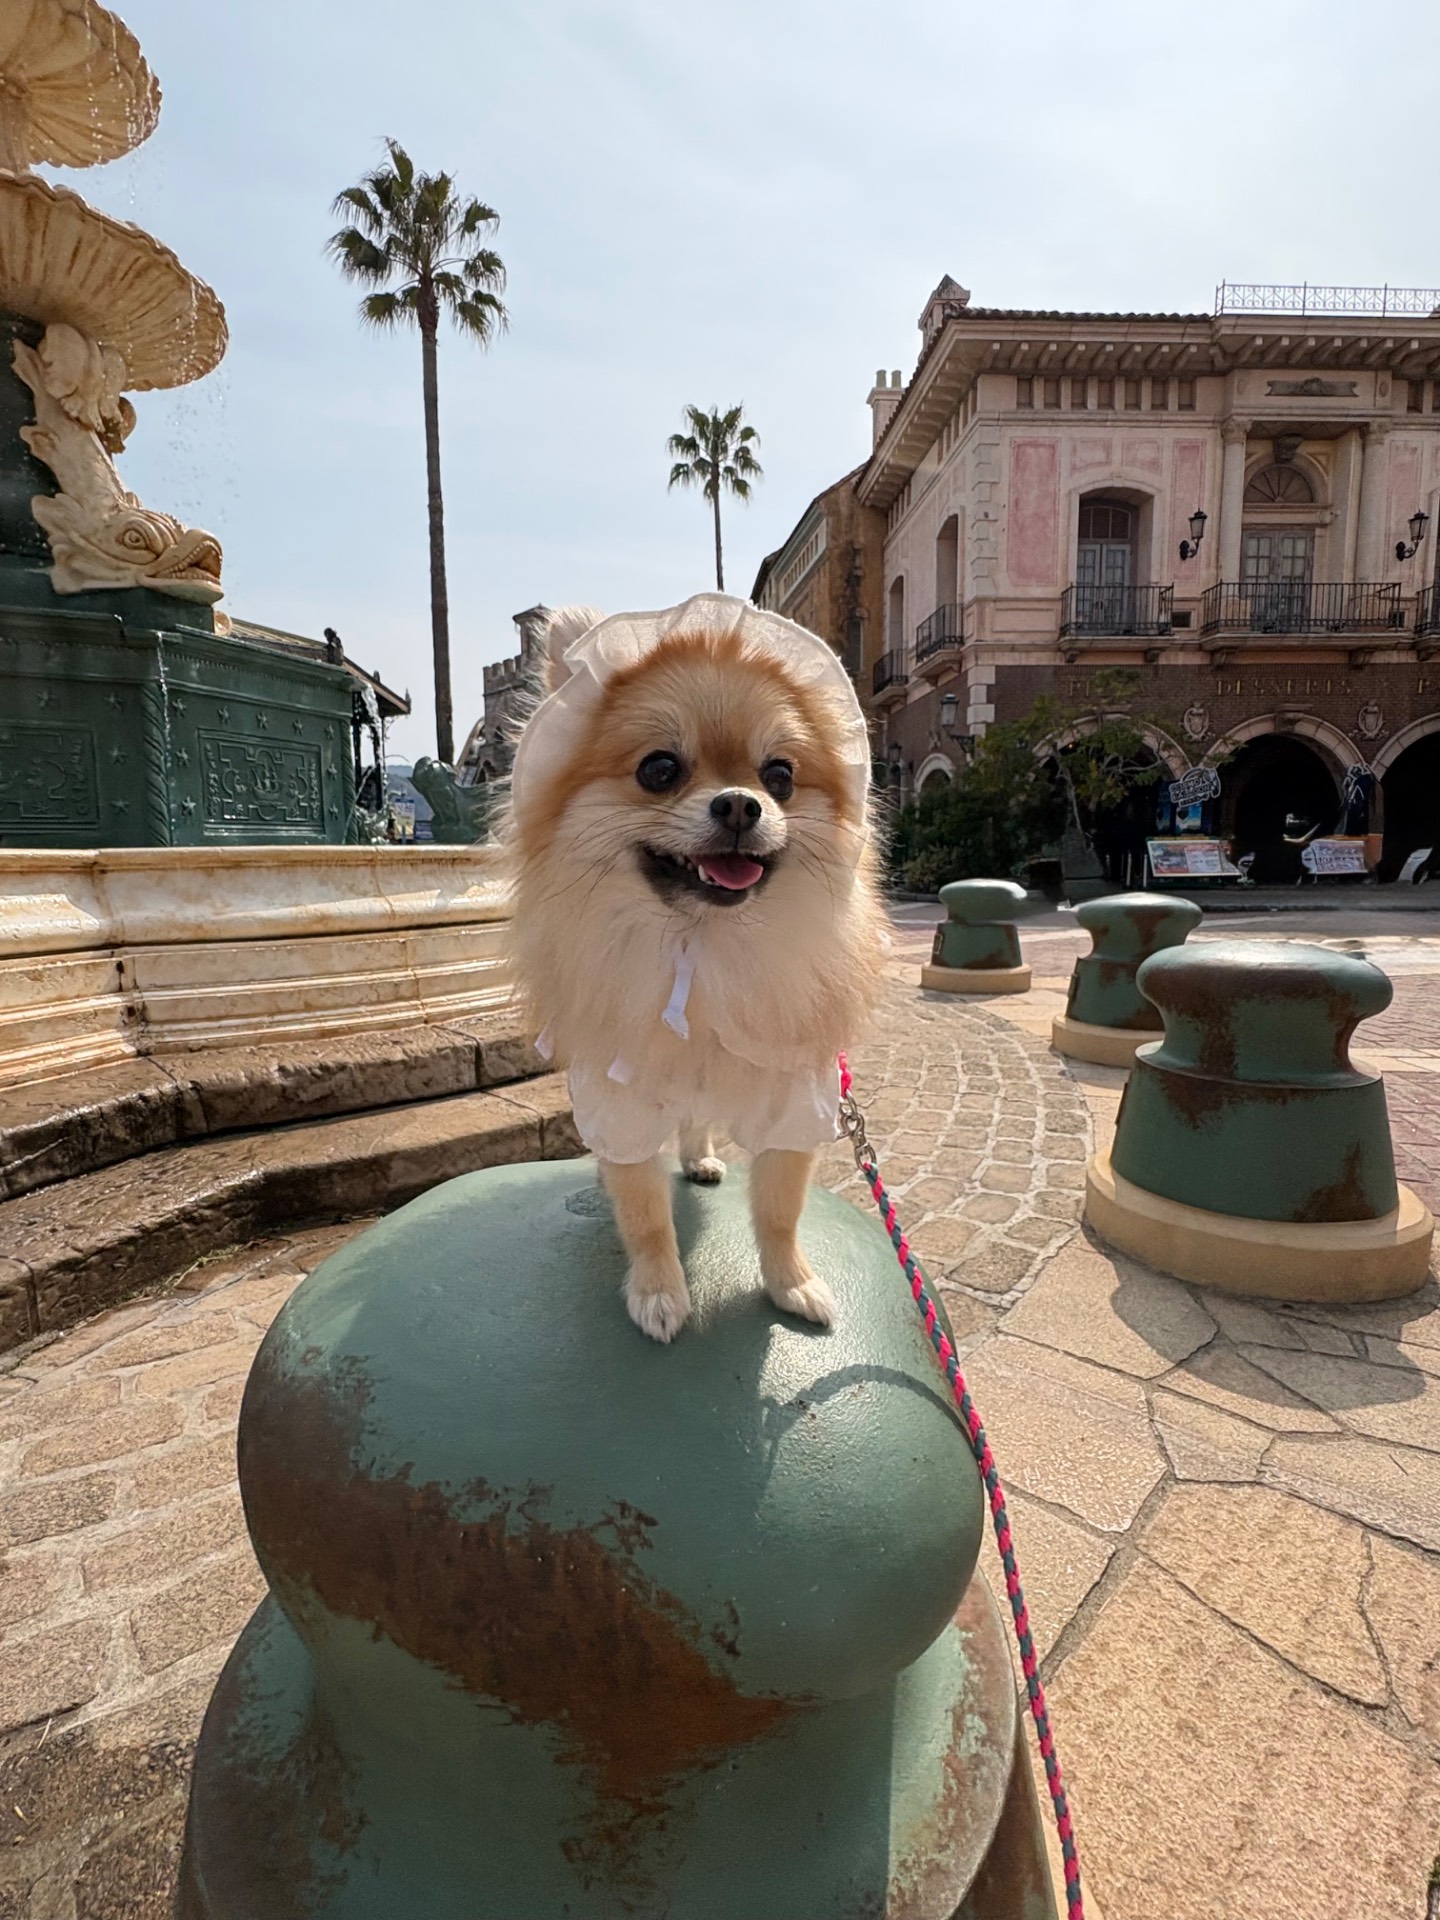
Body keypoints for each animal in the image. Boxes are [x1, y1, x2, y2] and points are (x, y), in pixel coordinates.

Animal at [501, 594, 887, 1341]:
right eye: (659, 769)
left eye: (780, 776)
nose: (739, 802)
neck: (703, 948)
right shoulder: (619, 1102)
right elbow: (645, 1214)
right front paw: (659, 1292)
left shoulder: (798, 1101)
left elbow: (780, 1210)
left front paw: (793, 1284)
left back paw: (701, 1155)